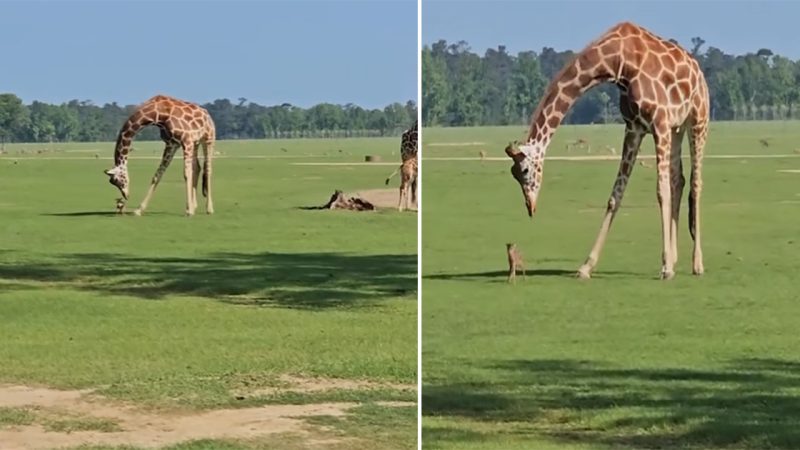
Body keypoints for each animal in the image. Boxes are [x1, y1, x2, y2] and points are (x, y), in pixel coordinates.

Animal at [504, 23, 708, 282]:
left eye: (525, 170)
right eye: (513, 174)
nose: (531, 207)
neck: (617, 62)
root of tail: (698, 70)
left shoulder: (659, 123)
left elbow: (661, 192)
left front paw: (665, 268)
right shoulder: (634, 127)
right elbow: (615, 196)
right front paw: (586, 267)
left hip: (698, 120)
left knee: (695, 183)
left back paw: (697, 264)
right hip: (676, 129)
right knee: (678, 180)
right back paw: (675, 257)